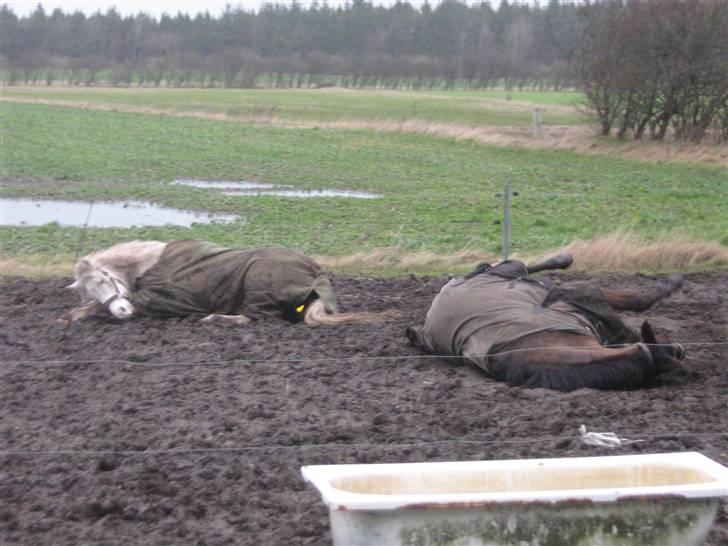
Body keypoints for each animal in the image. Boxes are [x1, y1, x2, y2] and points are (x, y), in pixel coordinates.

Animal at [67, 238, 398, 324]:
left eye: (104, 279)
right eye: (89, 291)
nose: (122, 312)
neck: (148, 265)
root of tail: (314, 271)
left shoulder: (165, 301)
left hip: (257, 289)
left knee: (255, 318)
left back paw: (215, 318)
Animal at [406, 253, 684, 388]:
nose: (678, 349)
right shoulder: (585, 295)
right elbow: (639, 302)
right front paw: (670, 283)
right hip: (513, 273)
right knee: (515, 266)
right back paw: (562, 258)